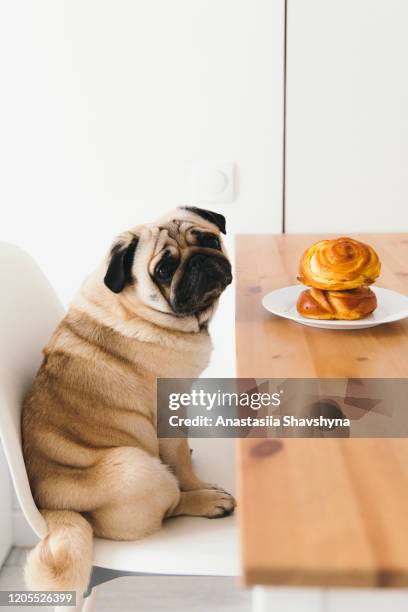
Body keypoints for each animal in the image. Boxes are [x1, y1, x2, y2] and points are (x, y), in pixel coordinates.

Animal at [20, 207, 234, 596]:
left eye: (209, 239)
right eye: (164, 270)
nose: (199, 261)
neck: (132, 306)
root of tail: (48, 508)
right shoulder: (169, 408)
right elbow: (181, 463)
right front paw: (198, 483)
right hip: (140, 469)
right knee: (172, 501)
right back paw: (207, 502)